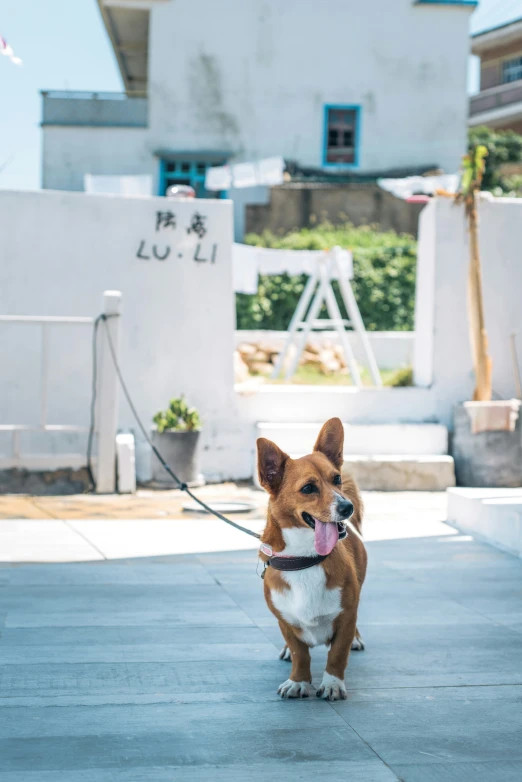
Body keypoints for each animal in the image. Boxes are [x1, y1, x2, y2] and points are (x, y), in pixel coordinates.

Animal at [256, 420, 366, 700]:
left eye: (336, 479)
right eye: (308, 488)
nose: (347, 507)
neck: (306, 558)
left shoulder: (346, 617)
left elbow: (337, 654)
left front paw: (332, 684)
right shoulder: (285, 621)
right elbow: (300, 653)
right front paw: (299, 681)